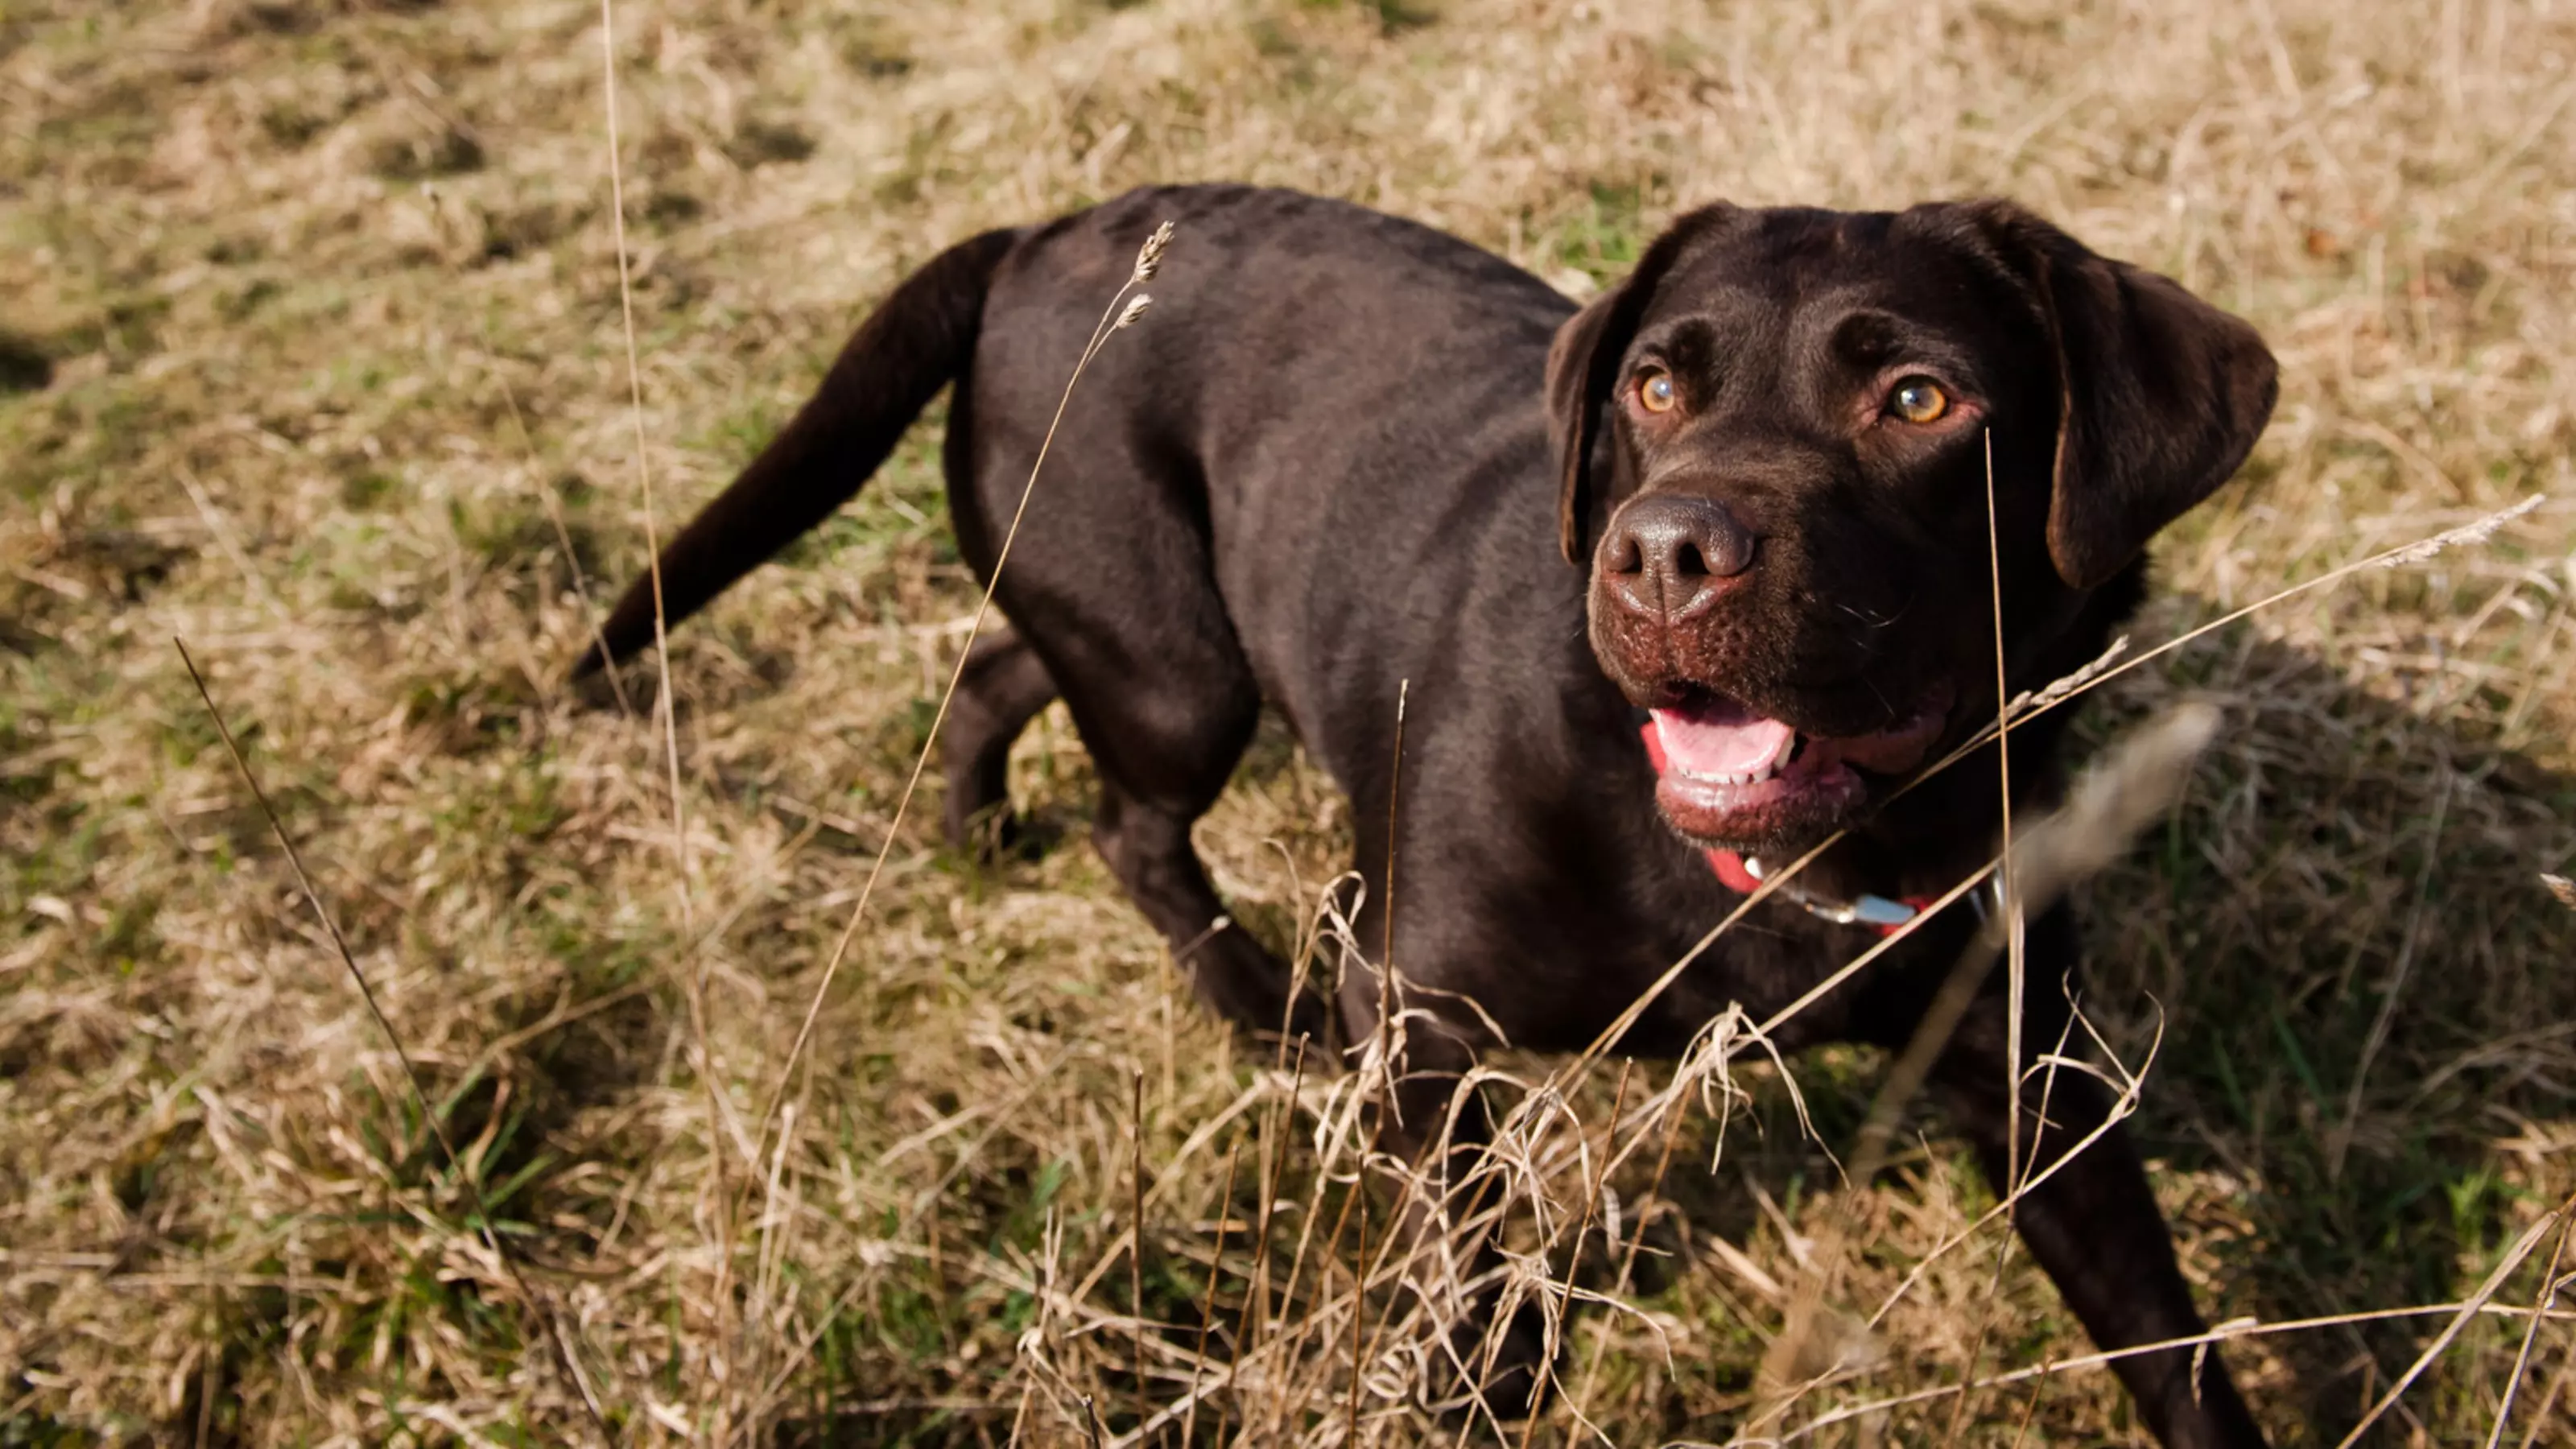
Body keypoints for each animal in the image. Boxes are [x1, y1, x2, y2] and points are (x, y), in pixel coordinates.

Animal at [584, 185, 2277, 1433]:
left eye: (1920, 398)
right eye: (1658, 382)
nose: (1665, 554)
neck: (1781, 867)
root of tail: (1035, 233)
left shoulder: (2038, 1077)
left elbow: (2169, 1342)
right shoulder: (1413, 1010)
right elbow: (1468, 1260)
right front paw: (1488, 1378)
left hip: (1133, 640)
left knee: (1003, 670)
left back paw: (976, 822)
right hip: (1178, 671)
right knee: (1131, 820)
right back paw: (1260, 1014)